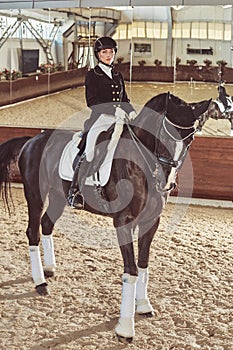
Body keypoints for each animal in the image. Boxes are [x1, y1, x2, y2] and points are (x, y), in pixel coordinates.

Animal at [0, 92, 211, 342]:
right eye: (164, 134)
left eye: (190, 139)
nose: (167, 184)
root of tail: (33, 140)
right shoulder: (123, 221)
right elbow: (131, 270)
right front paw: (125, 328)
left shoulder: (151, 222)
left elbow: (143, 264)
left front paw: (143, 305)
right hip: (35, 194)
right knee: (33, 231)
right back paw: (40, 282)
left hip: (59, 196)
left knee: (46, 224)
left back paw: (50, 269)